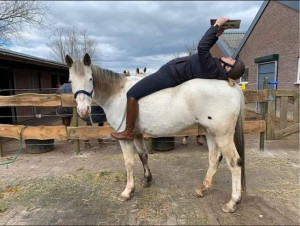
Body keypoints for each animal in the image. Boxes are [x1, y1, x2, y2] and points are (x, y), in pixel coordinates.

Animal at [66, 53, 246, 213]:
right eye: (70, 81)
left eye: (90, 79)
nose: (83, 111)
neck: (118, 93)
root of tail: (232, 86)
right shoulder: (136, 134)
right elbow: (143, 156)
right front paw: (147, 180)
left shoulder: (124, 138)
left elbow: (129, 163)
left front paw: (127, 191)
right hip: (210, 132)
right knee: (214, 159)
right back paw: (204, 188)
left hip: (223, 135)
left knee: (235, 163)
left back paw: (232, 202)